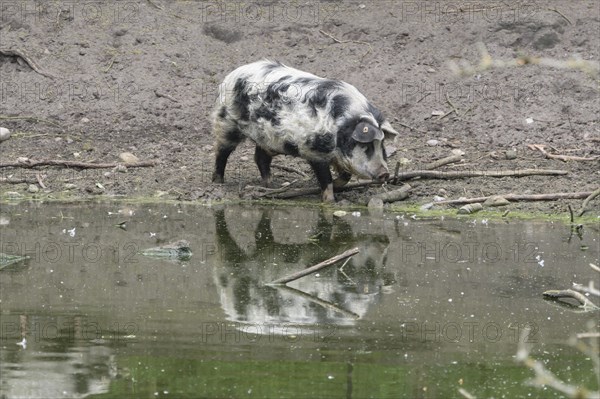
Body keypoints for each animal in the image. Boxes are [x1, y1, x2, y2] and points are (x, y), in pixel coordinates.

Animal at [211, 59, 398, 202]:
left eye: (382, 145)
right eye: (366, 146)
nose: (385, 173)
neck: (341, 127)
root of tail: (232, 74)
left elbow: (346, 176)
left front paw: (338, 186)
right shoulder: (314, 151)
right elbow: (325, 178)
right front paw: (329, 200)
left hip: (268, 137)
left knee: (260, 157)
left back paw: (270, 184)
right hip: (226, 123)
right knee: (221, 152)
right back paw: (218, 182)